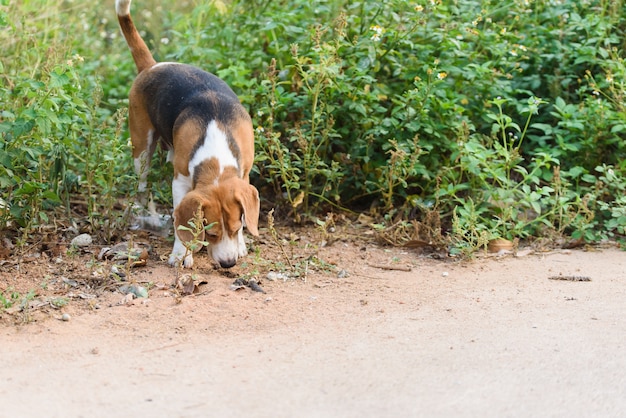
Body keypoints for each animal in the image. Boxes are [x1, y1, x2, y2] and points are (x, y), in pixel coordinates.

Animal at [114, 0, 258, 268]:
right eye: (211, 233)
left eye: (236, 228)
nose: (228, 263)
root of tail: (152, 66)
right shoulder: (180, 181)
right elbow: (182, 223)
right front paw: (181, 254)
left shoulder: (244, 173)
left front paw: (242, 244)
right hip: (141, 150)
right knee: (142, 186)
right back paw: (141, 213)